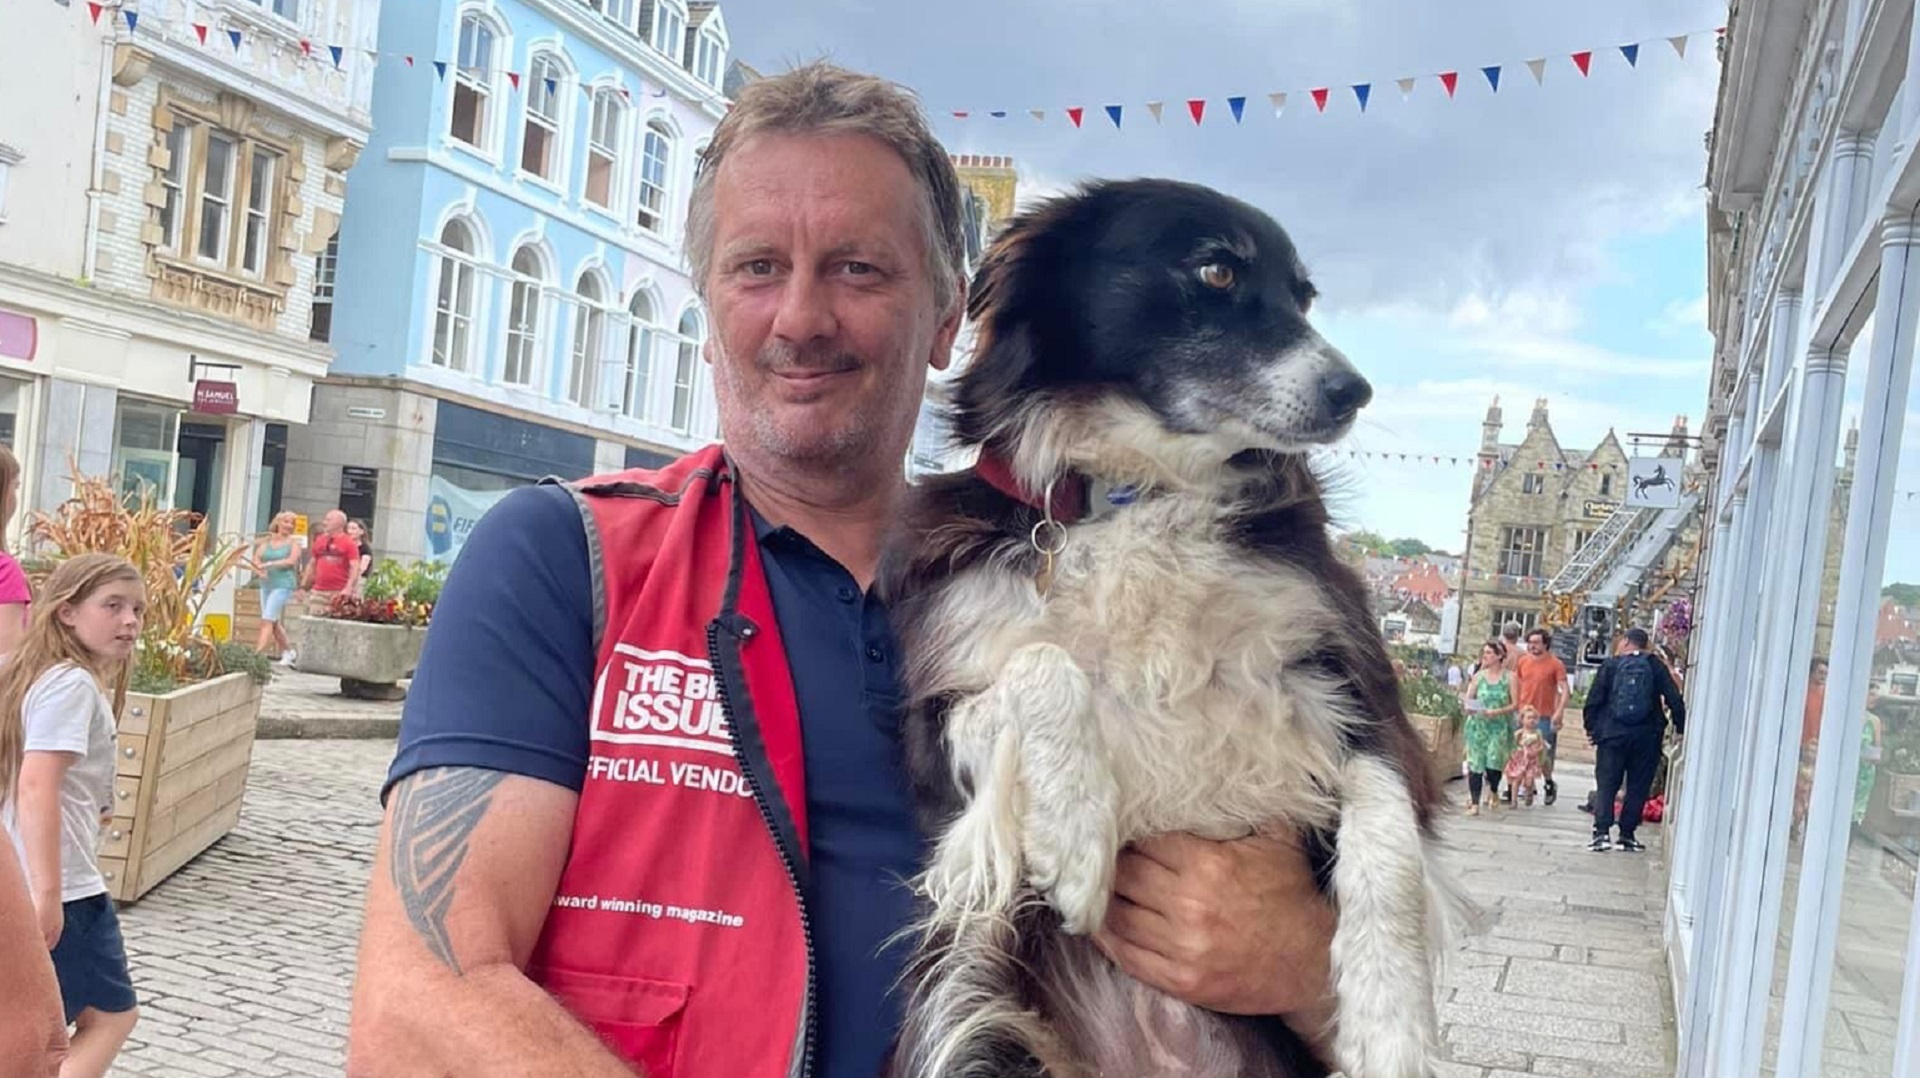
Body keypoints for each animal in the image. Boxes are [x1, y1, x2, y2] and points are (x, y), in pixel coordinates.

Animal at [879, 180, 1451, 1068]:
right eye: (1217, 271)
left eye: (1304, 297)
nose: (1353, 391)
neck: (1139, 491)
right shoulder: (935, 725)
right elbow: (1041, 663)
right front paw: (1076, 837)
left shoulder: (1357, 685)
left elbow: (1387, 834)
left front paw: (1392, 1024)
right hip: (969, 996)